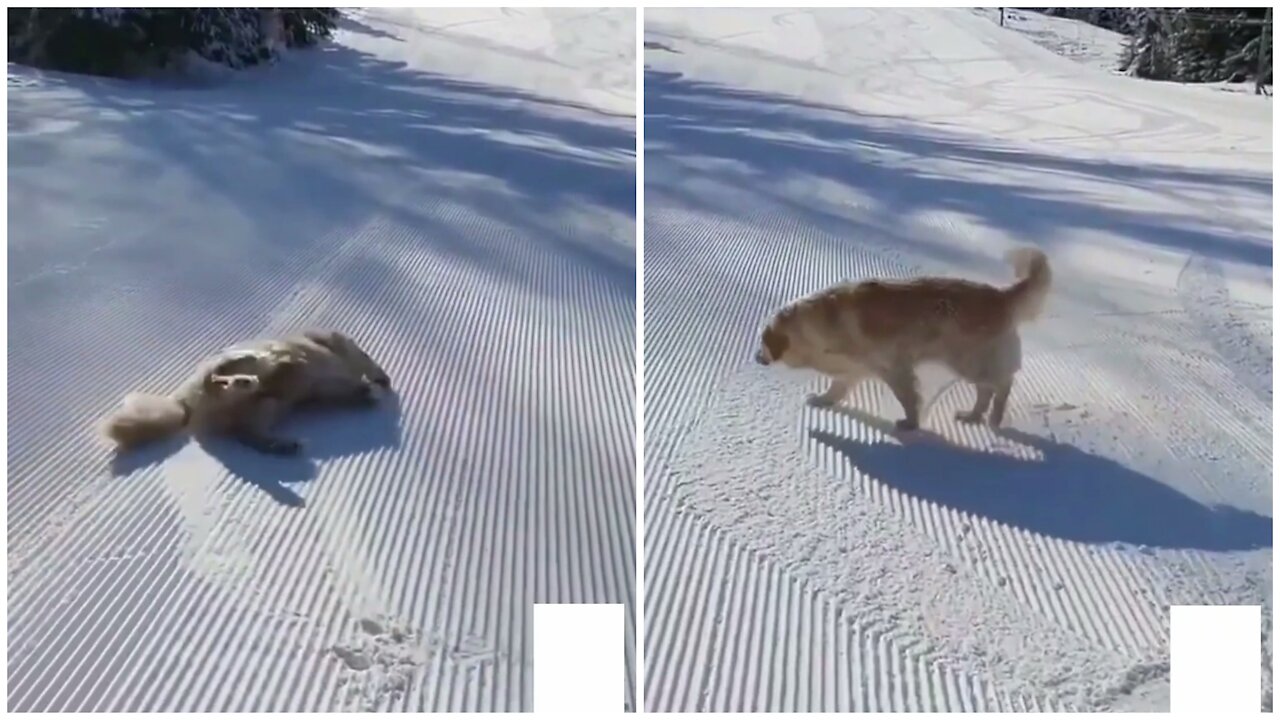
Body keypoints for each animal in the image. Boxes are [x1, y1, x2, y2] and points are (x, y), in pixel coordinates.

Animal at [101, 326, 389, 450]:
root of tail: (183, 405)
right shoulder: (336, 350)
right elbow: (361, 361)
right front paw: (377, 381)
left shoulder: (330, 385)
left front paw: (368, 392)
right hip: (250, 375)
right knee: (219, 377)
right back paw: (245, 376)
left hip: (268, 405)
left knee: (249, 433)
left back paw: (282, 444)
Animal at [752, 248, 1044, 425]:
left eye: (762, 342)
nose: (755, 357)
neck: (811, 327)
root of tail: (1002, 296)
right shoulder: (851, 369)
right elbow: (837, 388)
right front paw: (823, 400)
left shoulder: (893, 367)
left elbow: (907, 396)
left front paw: (910, 424)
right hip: (970, 362)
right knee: (986, 389)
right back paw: (972, 416)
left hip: (969, 360)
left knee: (1002, 384)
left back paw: (994, 418)